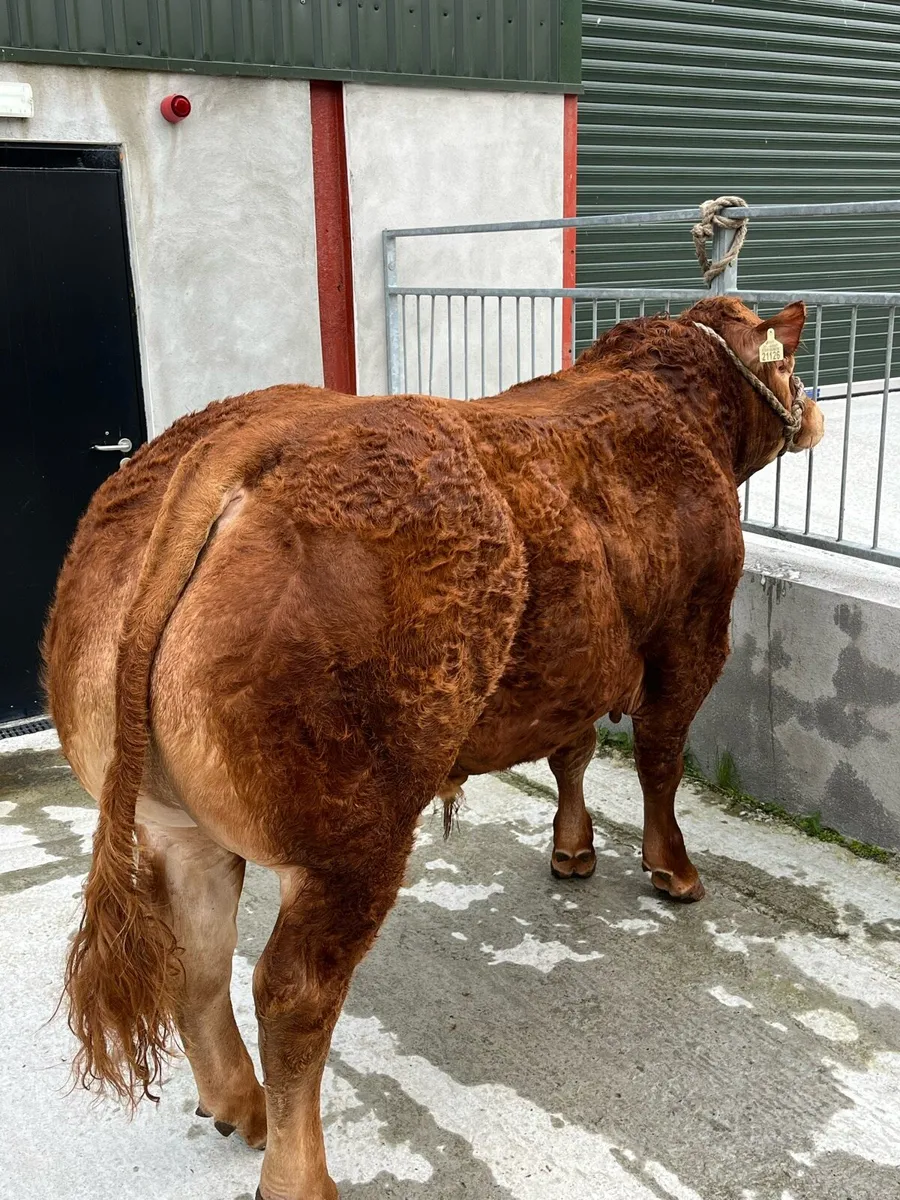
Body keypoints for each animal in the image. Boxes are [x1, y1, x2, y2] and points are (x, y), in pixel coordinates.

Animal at [44, 296, 822, 1199]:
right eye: (789, 362)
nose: (814, 413)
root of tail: (236, 434)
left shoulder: (573, 667)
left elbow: (572, 756)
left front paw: (572, 851)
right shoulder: (692, 638)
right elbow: (660, 763)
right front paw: (674, 871)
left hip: (175, 825)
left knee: (196, 960)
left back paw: (238, 1103)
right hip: (352, 836)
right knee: (292, 993)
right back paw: (300, 1173)